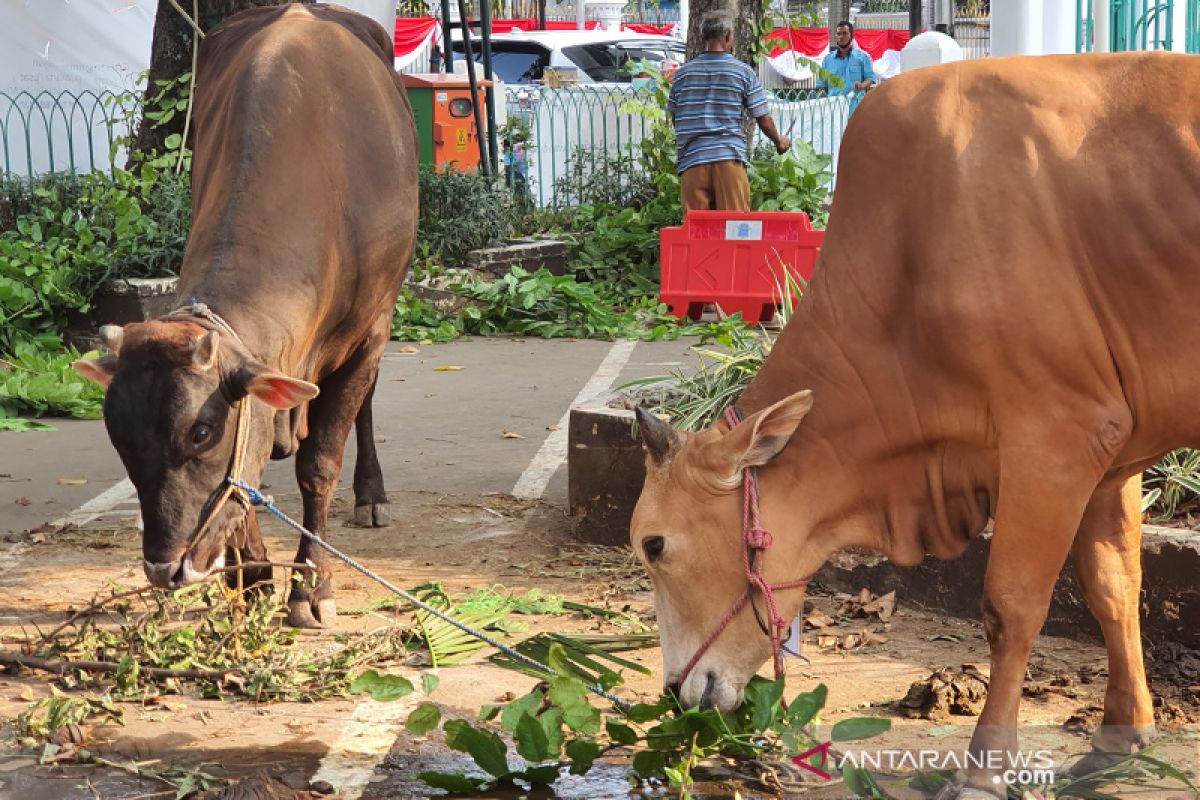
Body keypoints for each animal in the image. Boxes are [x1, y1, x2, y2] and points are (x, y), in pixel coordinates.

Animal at [75, 4, 420, 633]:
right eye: (118, 434)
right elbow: (246, 479)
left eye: (201, 432)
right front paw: (254, 579)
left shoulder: (369, 333)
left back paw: (371, 494)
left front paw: (311, 585)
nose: (165, 568)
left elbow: (319, 463)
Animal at [633, 53, 1195, 796]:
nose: (676, 691)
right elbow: (1113, 588)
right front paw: (1118, 738)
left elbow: (1011, 608)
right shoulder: (1114, 449)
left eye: (655, 546)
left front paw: (985, 768)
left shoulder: (1058, 437)